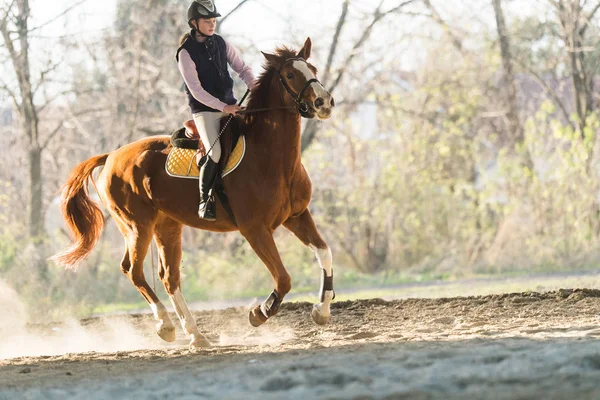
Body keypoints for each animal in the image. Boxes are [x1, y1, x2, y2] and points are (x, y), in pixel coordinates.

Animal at [49, 38, 336, 350]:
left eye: (312, 69)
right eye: (290, 75)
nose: (324, 103)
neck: (272, 156)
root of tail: (112, 156)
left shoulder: (296, 216)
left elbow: (325, 252)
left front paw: (321, 311)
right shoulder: (254, 229)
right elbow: (283, 279)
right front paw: (259, 313)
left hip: (167, 227)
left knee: (168, 277)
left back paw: (196, 334)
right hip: (137, 226)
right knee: (134, 271)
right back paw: (166, 326)